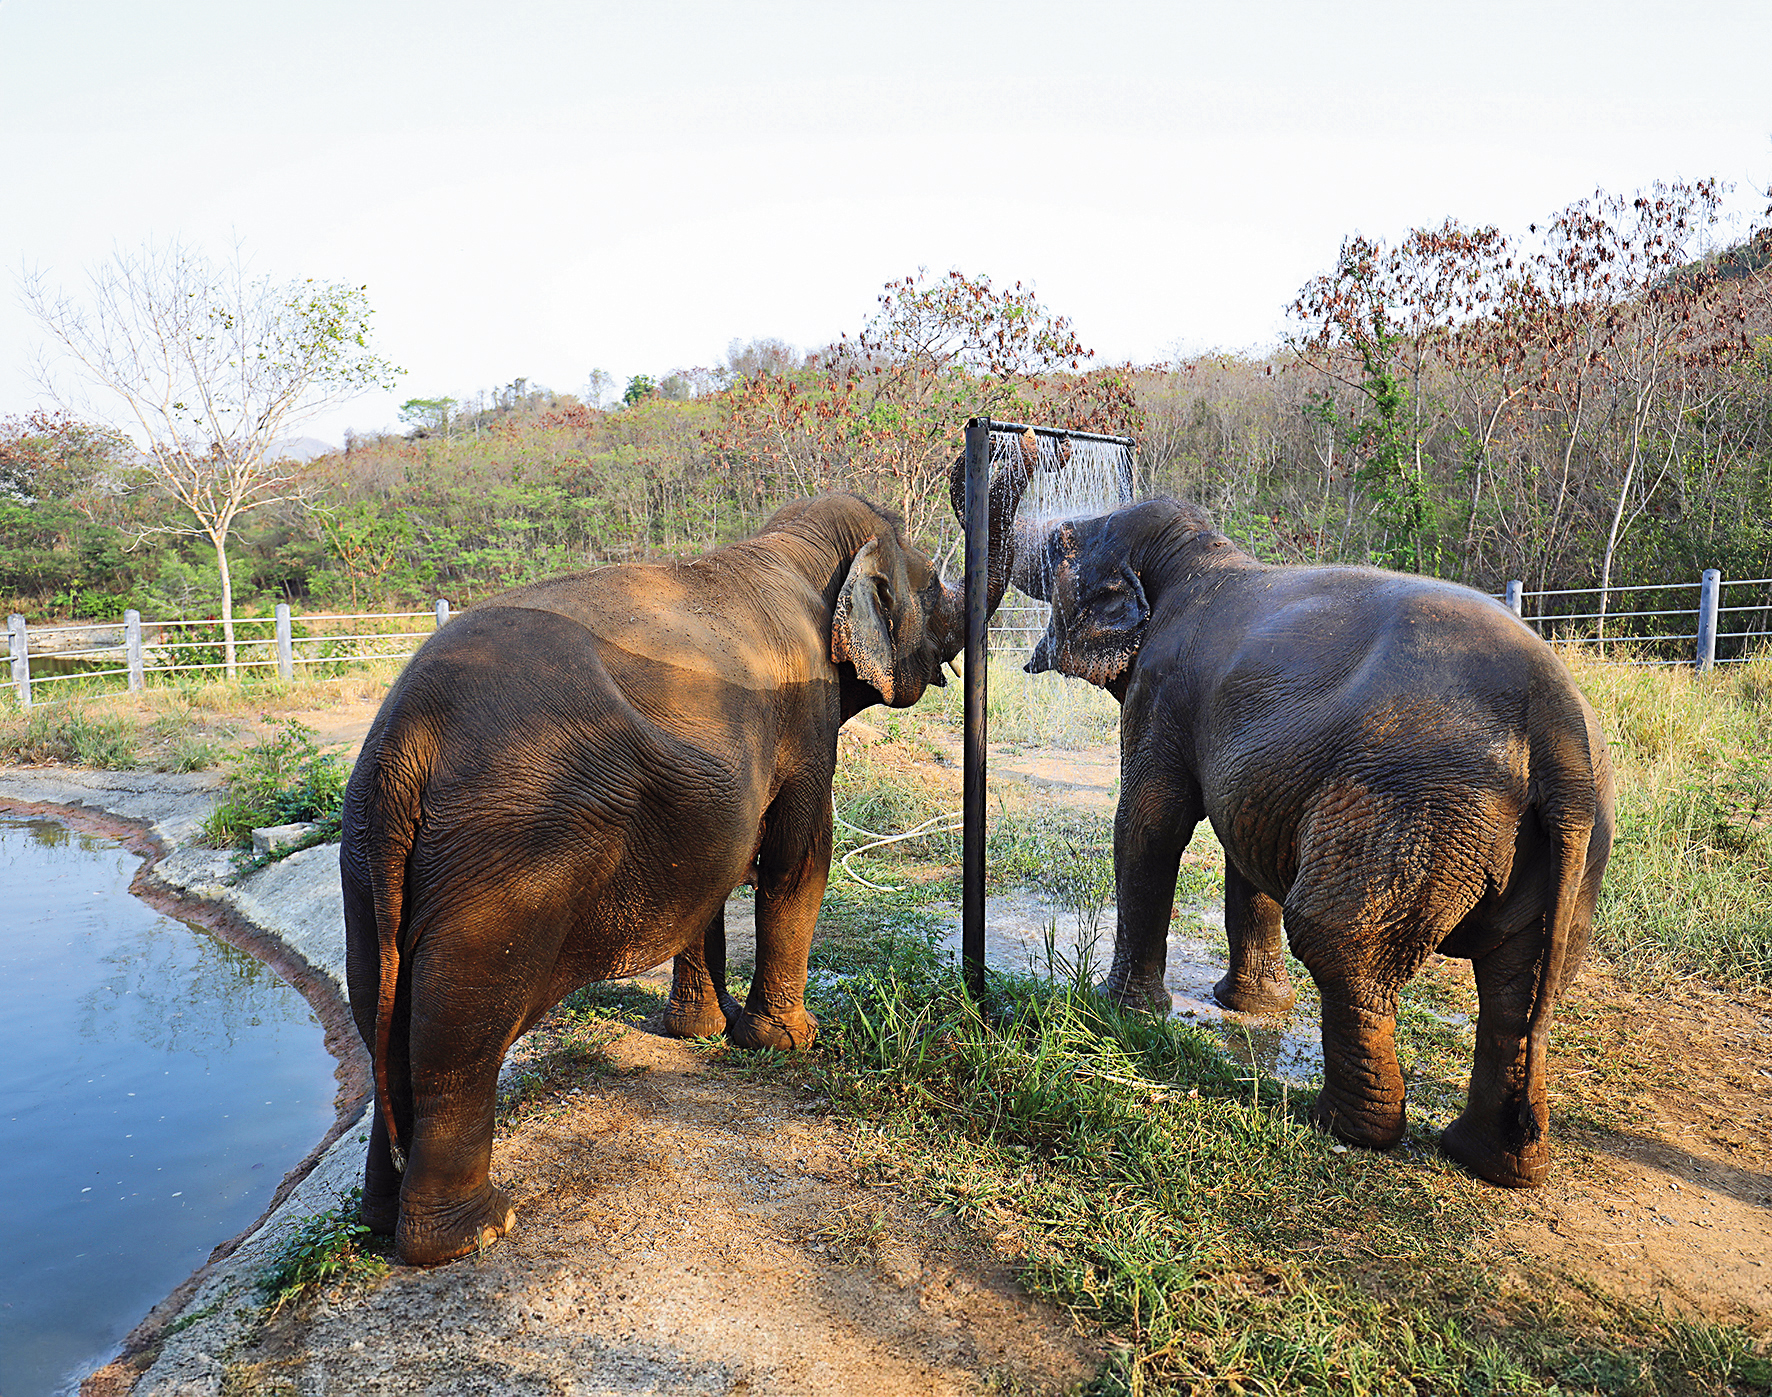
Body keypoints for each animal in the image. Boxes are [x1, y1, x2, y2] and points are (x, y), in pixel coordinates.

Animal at [341, 480, 1031, 1266]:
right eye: (935, 586)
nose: (1029, 458)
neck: (797, 549)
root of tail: (407, 737)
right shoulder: (805, 723)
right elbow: (799, 859)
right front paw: (789, 1042)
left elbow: (716, 875)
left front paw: (698, 1032)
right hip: (510, 847)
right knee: (458, 1026)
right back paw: (476, 1233)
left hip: (367, 852)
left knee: (378, 1011)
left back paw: (380, 1219)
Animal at [1009, 497, 1614, 1189]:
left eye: (1062, 540)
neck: (1194, 552)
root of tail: (1559, 734)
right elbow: (1243, 842)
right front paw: (1252, 1006)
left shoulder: (1164, 687)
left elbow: (1150, 825)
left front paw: (1122, 1010)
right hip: (1566, 850)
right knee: (1523, 982)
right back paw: (1490, 1161)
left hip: (1406, 809)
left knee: (1340, 941)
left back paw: (1344, 1127)